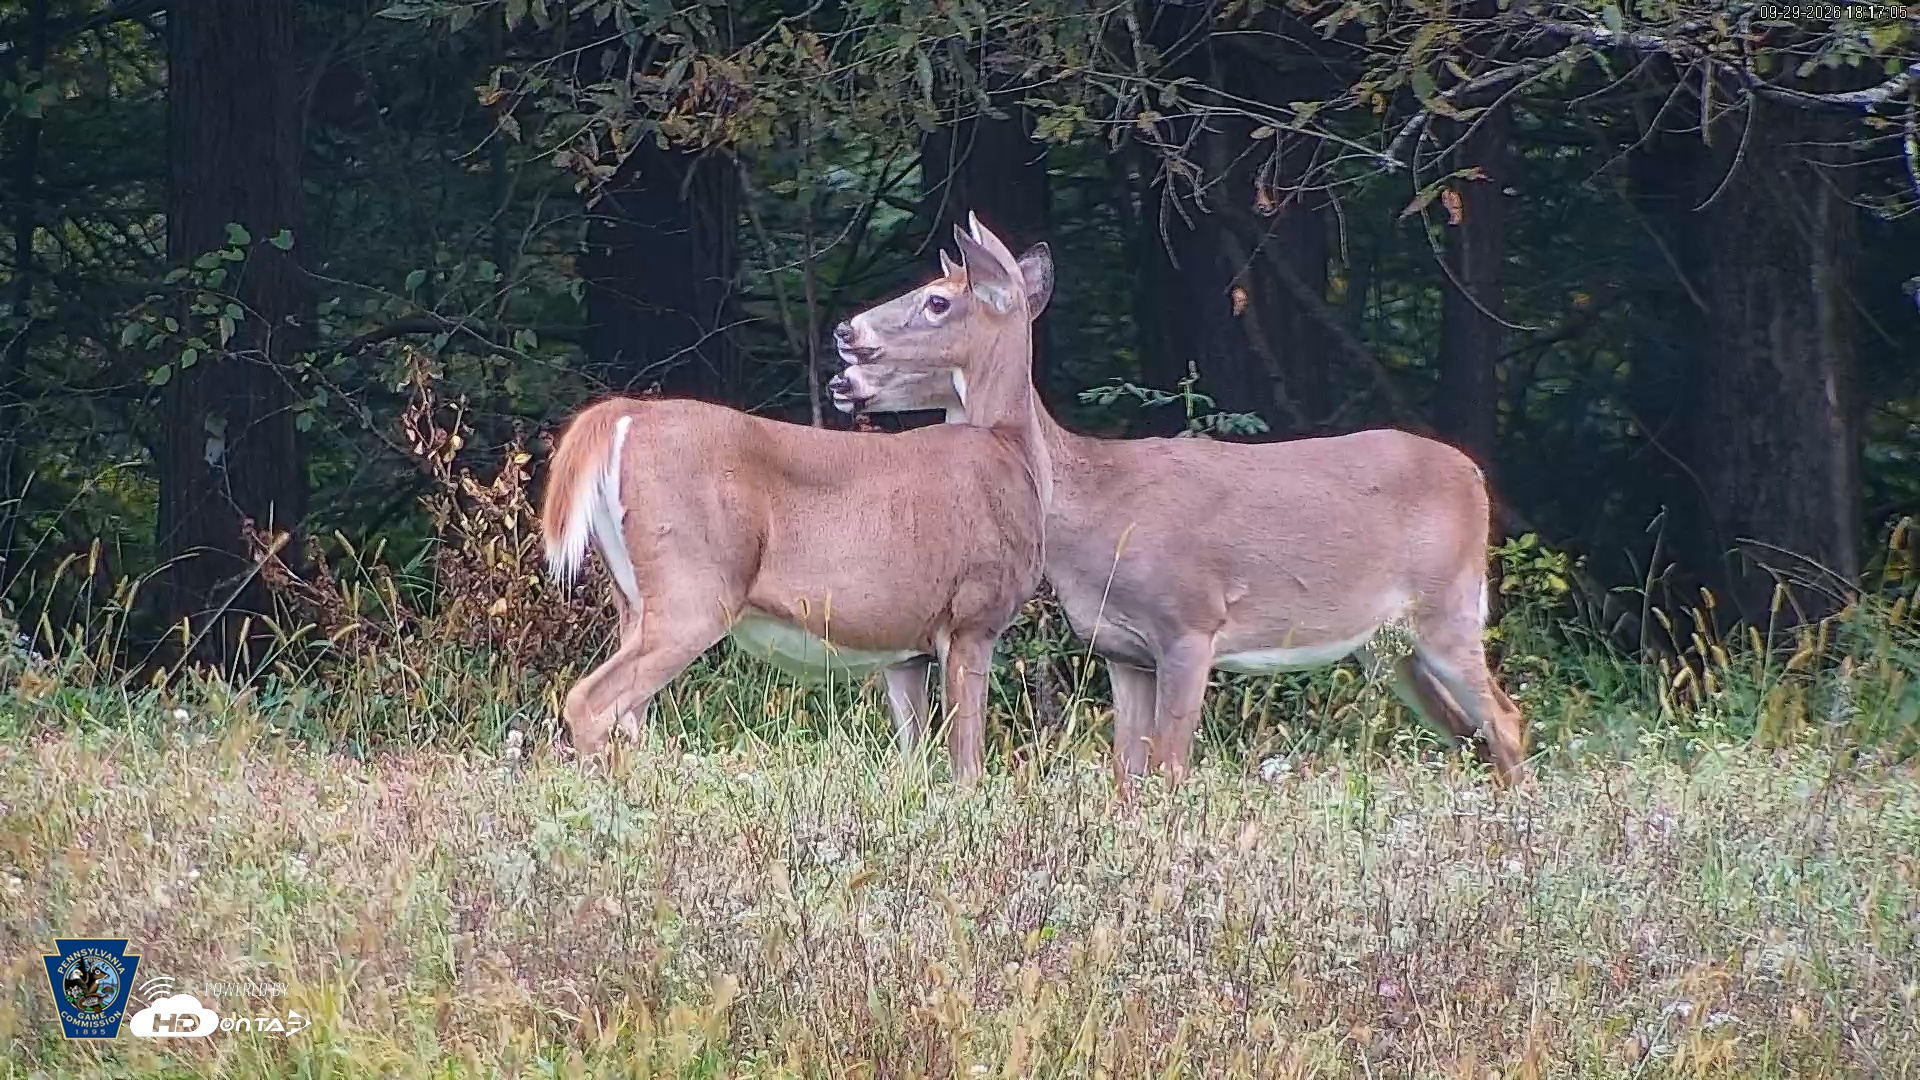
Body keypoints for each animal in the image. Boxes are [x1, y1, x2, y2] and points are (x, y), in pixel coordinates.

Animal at [540, 214, 1051, 781]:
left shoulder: (904, 649)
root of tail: (625, 414)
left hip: (632, 598)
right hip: (693, 588)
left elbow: (913, 759)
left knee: (629, 714)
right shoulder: (974, 616)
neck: (1012, 452)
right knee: (591, 701)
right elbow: (968, 767)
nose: (846, 331)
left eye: (937, 300)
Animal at [826, 230, 1529, 790]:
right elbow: (1127, 774)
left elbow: (1169, 769)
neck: (1089, 511)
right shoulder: (1121, 649)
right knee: (1469, 732)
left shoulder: (1190, 622)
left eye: (938, 301)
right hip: (1388, 645)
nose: (844, 337)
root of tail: (1472, 473)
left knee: (1507, 720)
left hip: (1448, 606)